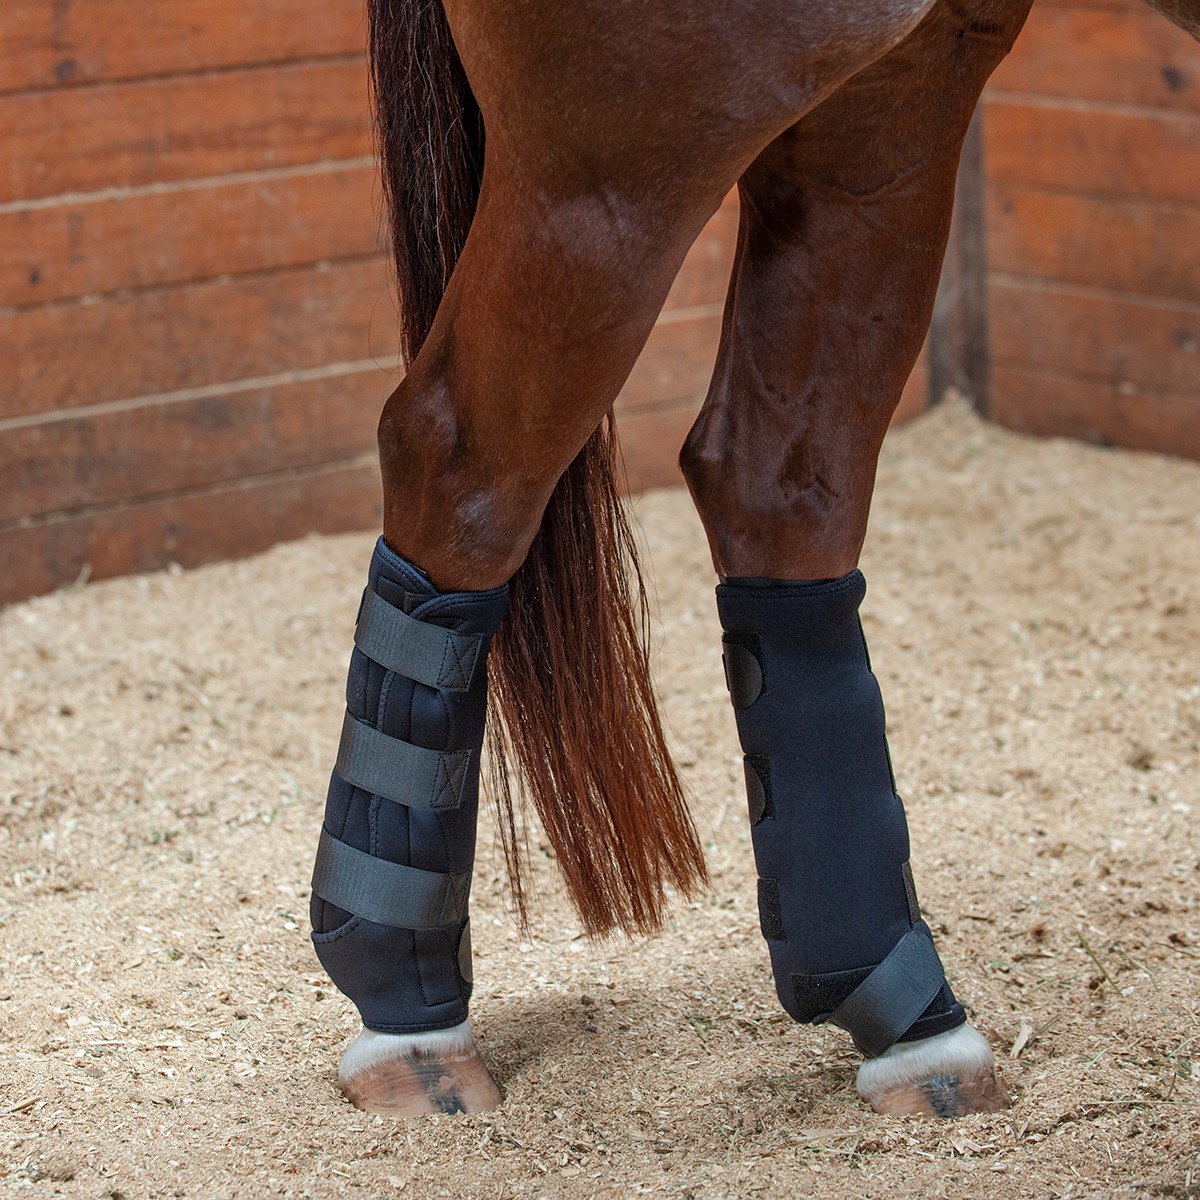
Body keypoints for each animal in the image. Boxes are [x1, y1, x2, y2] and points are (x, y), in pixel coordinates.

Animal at [307, 0, 1200, 1120]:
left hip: (896, 80)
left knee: (775, 479)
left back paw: (904, 1017)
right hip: (628, 148)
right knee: (460, 456)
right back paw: (410, 1012)